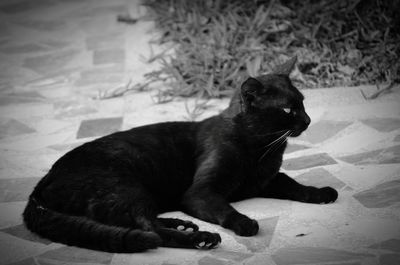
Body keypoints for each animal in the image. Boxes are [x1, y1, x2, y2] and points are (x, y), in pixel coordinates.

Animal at [22, 57, 338, 252]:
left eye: (303, 103)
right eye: (287, 109)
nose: (308, 120)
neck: (260, 149)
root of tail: (42, 184)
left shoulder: (268, 180)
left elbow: (294, 185)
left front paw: (322, 192)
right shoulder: (200, 192)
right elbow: (224, 208)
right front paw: (244, 222)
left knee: (143, 221)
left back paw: (184, 225)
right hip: (124, 187)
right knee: (150, 230)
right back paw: (201, 238)